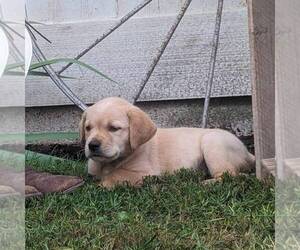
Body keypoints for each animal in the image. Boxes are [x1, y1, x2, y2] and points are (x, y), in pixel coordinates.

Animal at [79, 96, 253, 188]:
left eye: (114, 128)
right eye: (88, 128)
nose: (92, 145)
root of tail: (246, 151)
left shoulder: (145, 173)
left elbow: (116, 175)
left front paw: (102, 183)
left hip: (212, 143)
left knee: (232, 175)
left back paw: (205, 184)